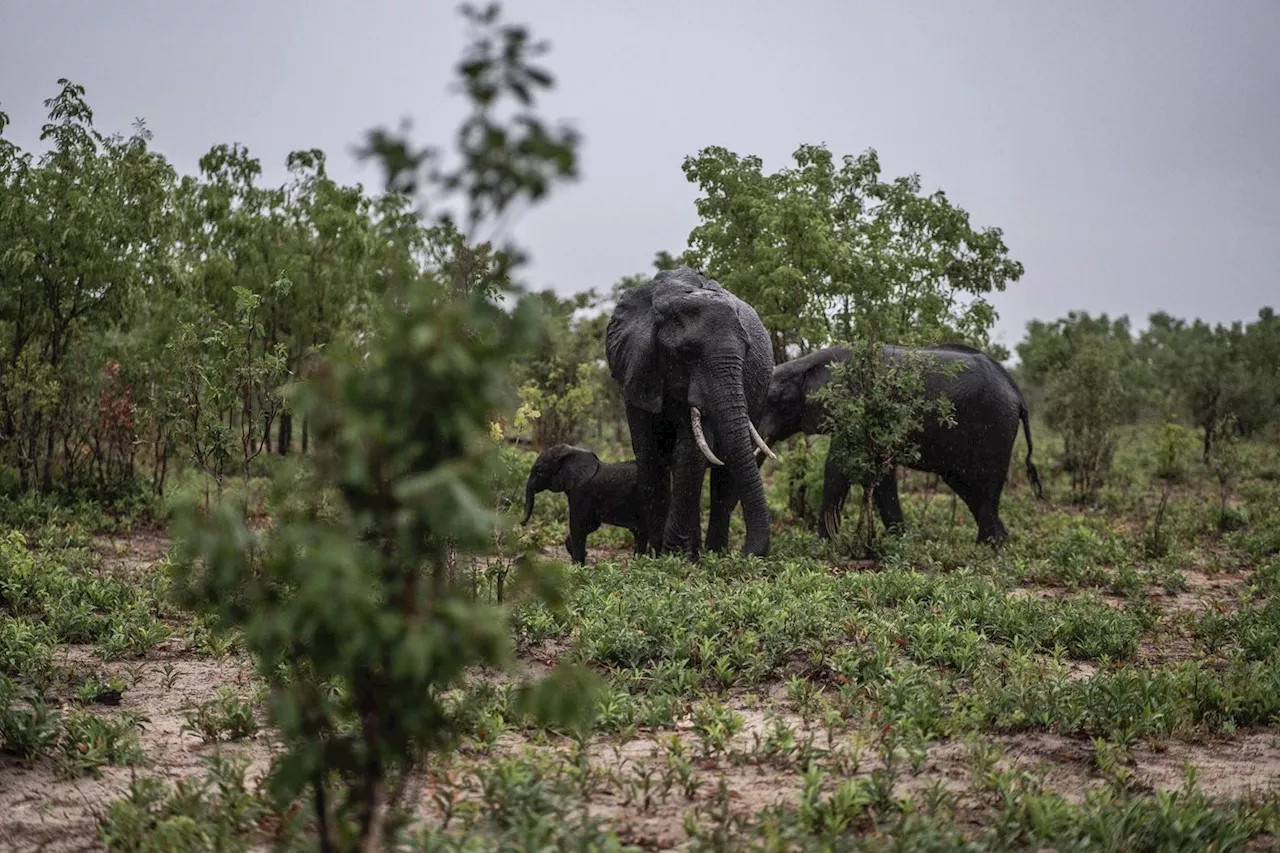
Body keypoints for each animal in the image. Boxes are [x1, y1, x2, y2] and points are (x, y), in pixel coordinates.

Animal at [517, 440, 645, 560]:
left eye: (540, 472)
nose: (521, 523)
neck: (574, 452)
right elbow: (591, 525)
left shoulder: (581, 493)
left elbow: (578, 525)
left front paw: (578, 566)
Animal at [604, 266, 773, 558]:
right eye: (686, 353)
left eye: (747, 351)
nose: (745, 553)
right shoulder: (637, 368)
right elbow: (649, 453)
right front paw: (659, 555)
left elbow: (690, 453)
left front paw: (672, 555)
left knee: (725, 473)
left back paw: (714, 554)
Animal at [757, 343, 1039, 540]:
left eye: (773, 401)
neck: (806, 364)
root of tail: (1017, 393)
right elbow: (879, 472)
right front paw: (898, 541)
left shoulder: (857, 408)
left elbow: (839, 467)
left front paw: (825, 544)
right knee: (964, 483)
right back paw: (1000, 541)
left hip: (995, 423)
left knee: (986, 480)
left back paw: (989, 545)